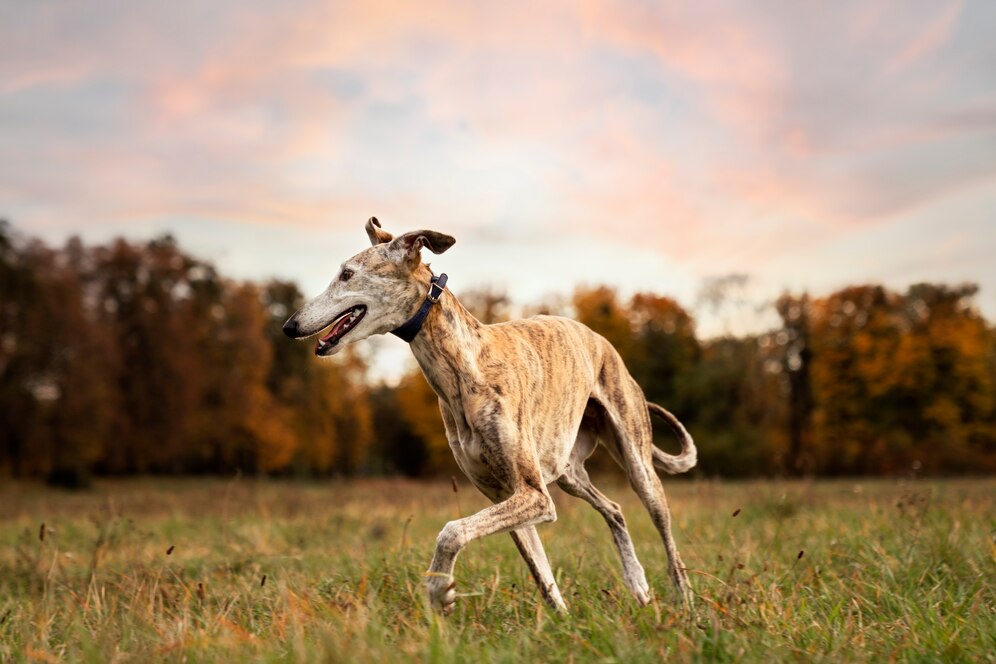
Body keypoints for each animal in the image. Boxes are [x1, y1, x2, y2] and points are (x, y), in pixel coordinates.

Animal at [284, 220, 696, 616]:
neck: (463, 365)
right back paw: (637, 582)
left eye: (347, 274)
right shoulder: (508, 495)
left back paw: (686, 605)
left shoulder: (533, 496)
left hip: (638, 465)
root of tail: (600, 339)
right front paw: (563, 623)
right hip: (568, 472)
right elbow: (541, 574)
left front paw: (440, 592)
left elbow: (451, 532)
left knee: (668, 541)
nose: (289, 326)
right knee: (614, 509)